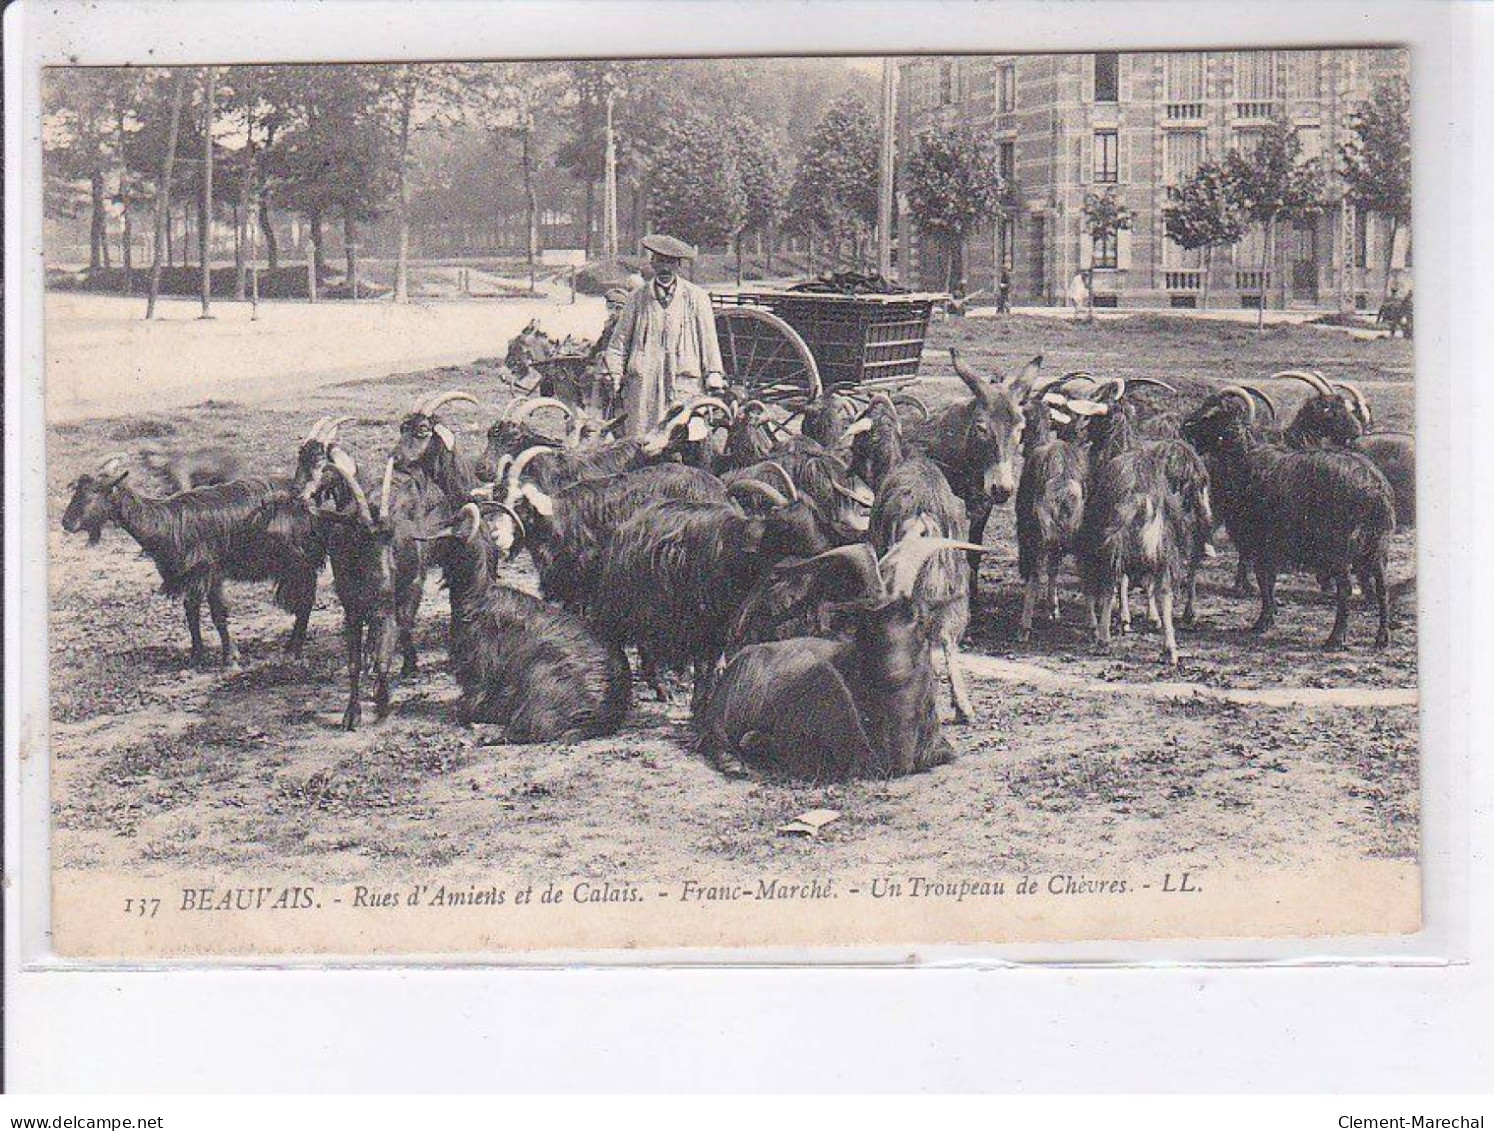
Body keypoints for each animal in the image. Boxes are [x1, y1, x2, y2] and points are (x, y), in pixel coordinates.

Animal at [62, 451, 325, 660]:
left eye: (97, 491)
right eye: (77, 490)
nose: (67, 523)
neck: (166, 522)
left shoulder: (207, 571)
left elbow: (216, 613)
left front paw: (230, 657)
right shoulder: (193, 576)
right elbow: (192, 612)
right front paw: (197, 654)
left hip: (301, 561)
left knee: (305, 602)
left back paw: (294, 649)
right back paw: (291, 646)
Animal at [594, 472, 836, 711]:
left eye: (813, 517)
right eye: (785, 526)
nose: (823, 551)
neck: (737, 549)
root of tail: (625, 527)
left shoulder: (724, 619)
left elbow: (714, 657)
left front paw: (707, 697)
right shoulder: (702, 617)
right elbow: (702, 661)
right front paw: (698, 702)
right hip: (629, 602)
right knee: (627, 640)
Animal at [902, 348, 1045, 600]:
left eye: (1020, 428)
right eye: (981, 428)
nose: (1003, 489)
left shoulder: (982, 503)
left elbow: (974, 552)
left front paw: (974, 595)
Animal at [1183, 394, 1392, 645]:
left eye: (1212, 416)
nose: (1185, 429)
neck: (1244, 460)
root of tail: (1374, 488)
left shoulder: (1262, 541)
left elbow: (1264, 580)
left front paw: (1262, 621)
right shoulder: (1265, 544)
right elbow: (1267, 580)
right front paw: (1268, 616)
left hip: (1341, 546)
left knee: (1346, 589)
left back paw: (1335, 637)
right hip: (1377, 545)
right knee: (1382, 588)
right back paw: (1382, 637)